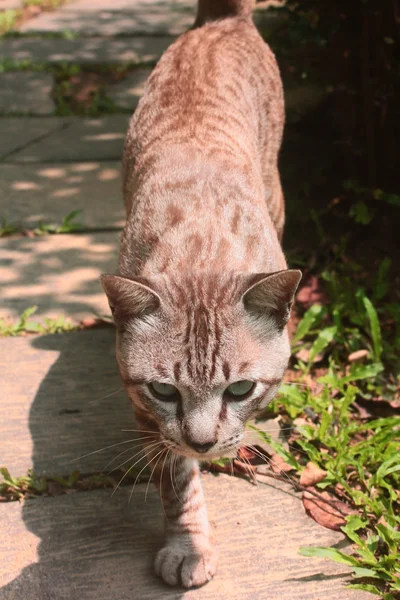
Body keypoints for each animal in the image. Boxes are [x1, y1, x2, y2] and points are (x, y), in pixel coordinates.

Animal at [101, 0, 302, 592]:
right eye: (165, 391)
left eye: (240, 389)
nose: (203, 442)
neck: (200, 252)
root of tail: (220, 20)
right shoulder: (150, 417)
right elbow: (177, 483)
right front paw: (188, 544)